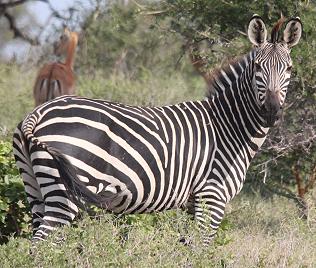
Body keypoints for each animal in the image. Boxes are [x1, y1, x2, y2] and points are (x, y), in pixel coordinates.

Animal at [13, 15, 302, 244]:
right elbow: (203, 250)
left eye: (289, 68)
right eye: (258, 68)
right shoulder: (212, 196)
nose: (272, 111)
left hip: (36, 188)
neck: (228, 126)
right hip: (66, 194)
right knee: (42, 244)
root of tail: (38, 113)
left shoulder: (194, 203)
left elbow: (188, 247)